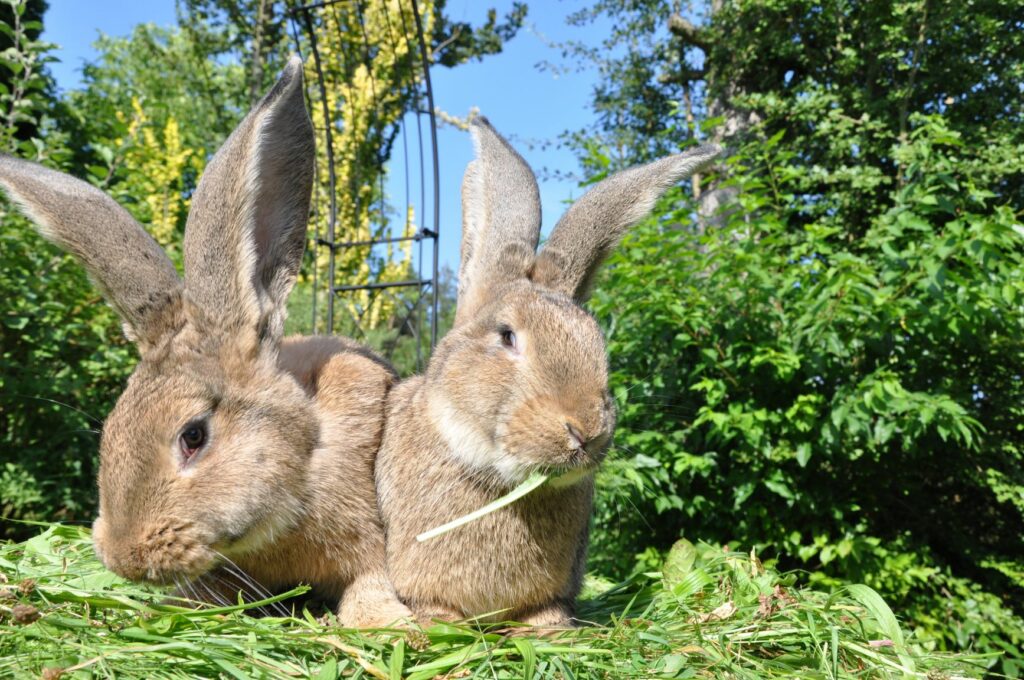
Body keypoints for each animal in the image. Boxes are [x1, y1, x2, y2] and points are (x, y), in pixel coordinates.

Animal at [4, 57, 411, 626]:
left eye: (193, 435)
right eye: (111, 429)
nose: (126, 558)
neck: (305, 456)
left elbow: (368, 583)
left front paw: (388, 623)